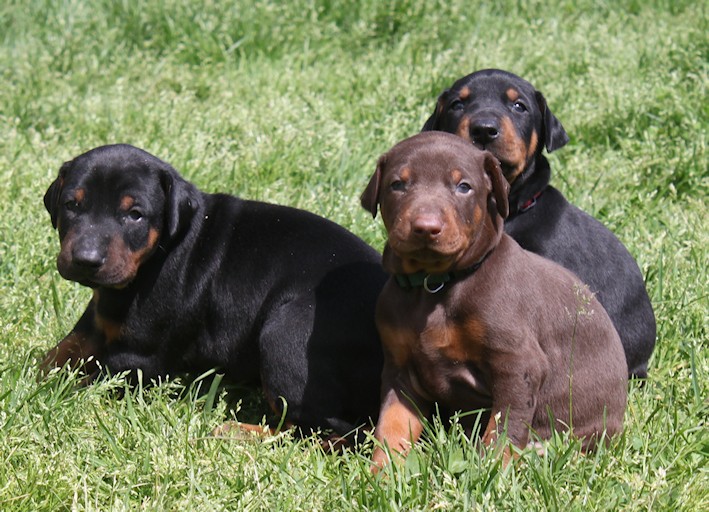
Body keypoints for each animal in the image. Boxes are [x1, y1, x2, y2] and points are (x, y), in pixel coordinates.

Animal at [42, 144, 388, 440]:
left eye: (135, 214)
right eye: (72, 205)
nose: (86, 260)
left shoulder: (138, 358)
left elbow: (86, 379)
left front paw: (53, 391)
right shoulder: (98, 319)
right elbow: (61, 351)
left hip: (285, 335)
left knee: (327, 430)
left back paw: (238, 432)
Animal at [362, 133, 628, 472]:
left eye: (464, 186)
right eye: (398, 184)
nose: (426, 227)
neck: (433, 285)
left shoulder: (518, 364)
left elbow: (503, 430)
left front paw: (489, 473)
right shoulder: (399, 369)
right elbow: (392, 427)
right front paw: (382, 473)